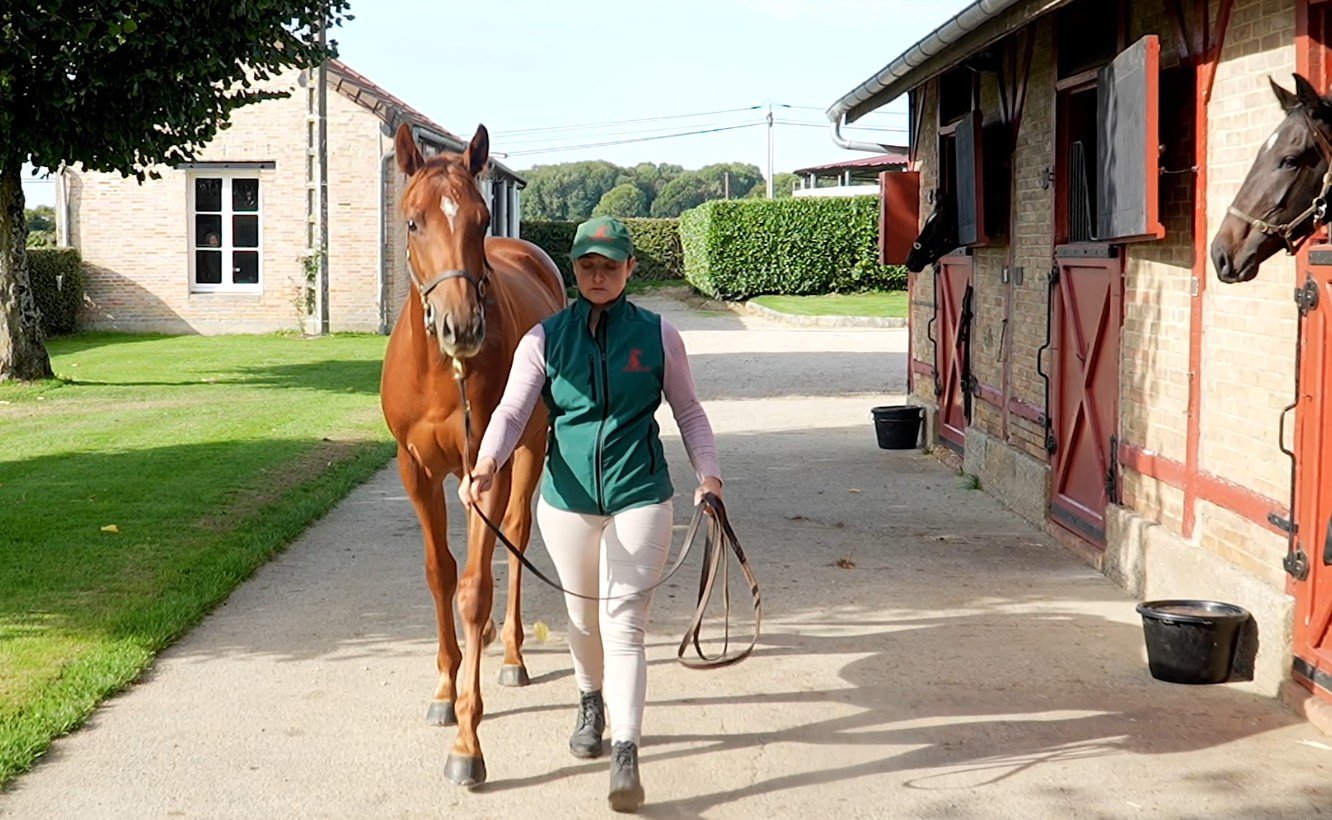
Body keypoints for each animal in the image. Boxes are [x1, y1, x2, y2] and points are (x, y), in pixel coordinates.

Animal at [380, 122, 566, 787]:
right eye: (413, 222)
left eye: (483, 220)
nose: (461, 328)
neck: (443, 374)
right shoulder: (416, 470)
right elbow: (441, 574)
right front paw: (444, 688)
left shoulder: (488, 469)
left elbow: (476, 584)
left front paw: (468, 740)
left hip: (527, 450)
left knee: (512, 538)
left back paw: (509, 651)